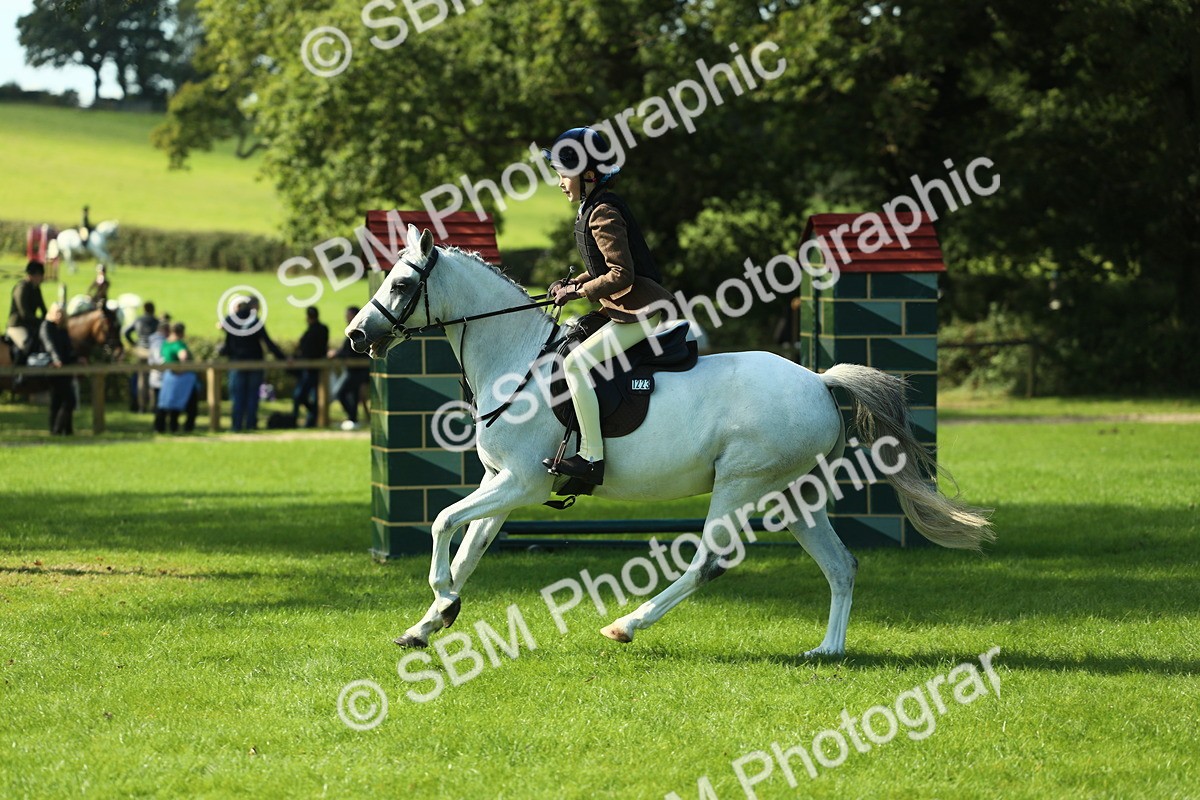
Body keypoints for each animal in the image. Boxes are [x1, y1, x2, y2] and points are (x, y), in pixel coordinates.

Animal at [346, 226, 994, 656]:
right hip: (793, 496)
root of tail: (818, 380)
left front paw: (440, 597)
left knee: (710, 561)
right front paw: (431, 621)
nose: (356, 335)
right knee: (841, 565)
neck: (516, 360)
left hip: (740, 483)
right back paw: (827, 651)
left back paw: (627, 625)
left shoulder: (522, 484)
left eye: (401, 282)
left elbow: (442, 524)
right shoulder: (498, 482)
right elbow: (469, 545)